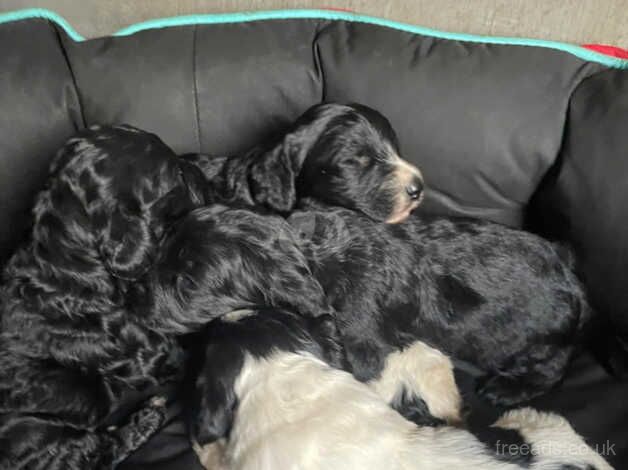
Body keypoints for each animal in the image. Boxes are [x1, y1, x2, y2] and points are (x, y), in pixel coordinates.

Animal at [0, 126, 211, 470]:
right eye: (176, 174)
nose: (198, 166)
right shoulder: (150, 353)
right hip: (36, 431)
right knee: (94, 452)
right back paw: (145, 419)